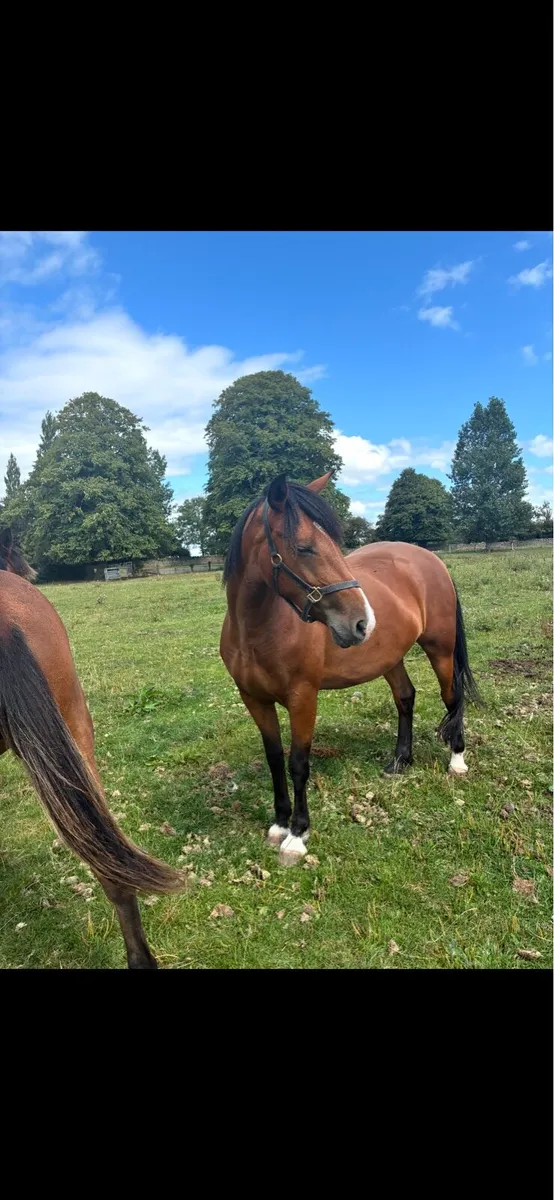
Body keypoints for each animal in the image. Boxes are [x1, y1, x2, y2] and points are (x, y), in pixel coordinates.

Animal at [220, 471, 482, 866]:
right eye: (304, 547)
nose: (363, 622)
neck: (257, 629)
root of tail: (430, 558)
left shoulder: (303, 697)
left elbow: (298, 762)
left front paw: (297, 835)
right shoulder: (253, 698)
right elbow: (274, 758)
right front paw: (279, 823)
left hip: (440, 650)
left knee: (452, 698)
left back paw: (457, 761)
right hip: (390, 657)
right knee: (405, 698)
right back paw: (400, 762)